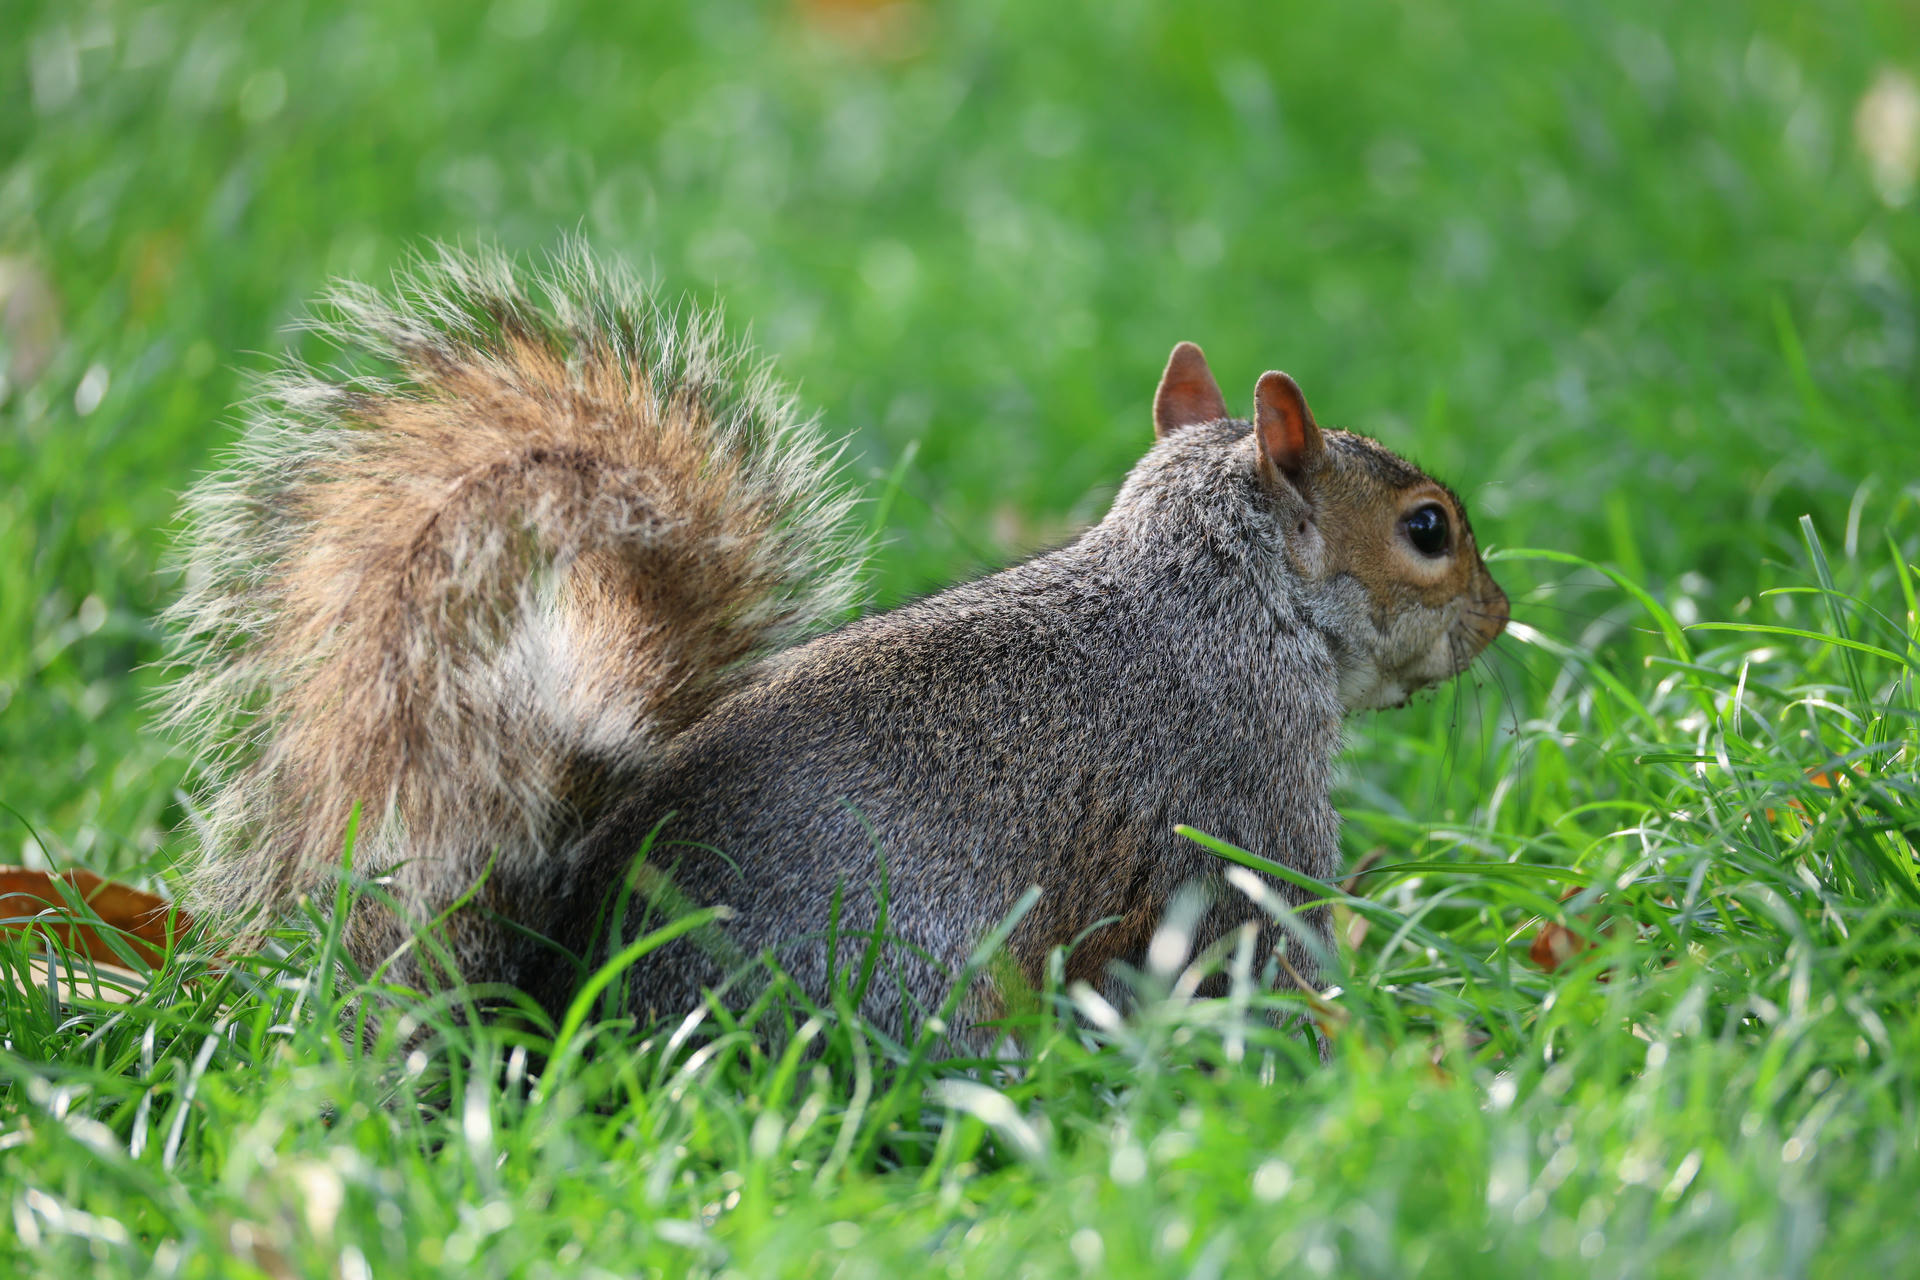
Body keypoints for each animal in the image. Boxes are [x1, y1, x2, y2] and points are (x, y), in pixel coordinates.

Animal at [162, 245, 1508, 1044]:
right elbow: (1257, 950)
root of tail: (562, 1032)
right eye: (1427, 528)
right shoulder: (1241, 803)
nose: (1498, 616)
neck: (1217, 595)